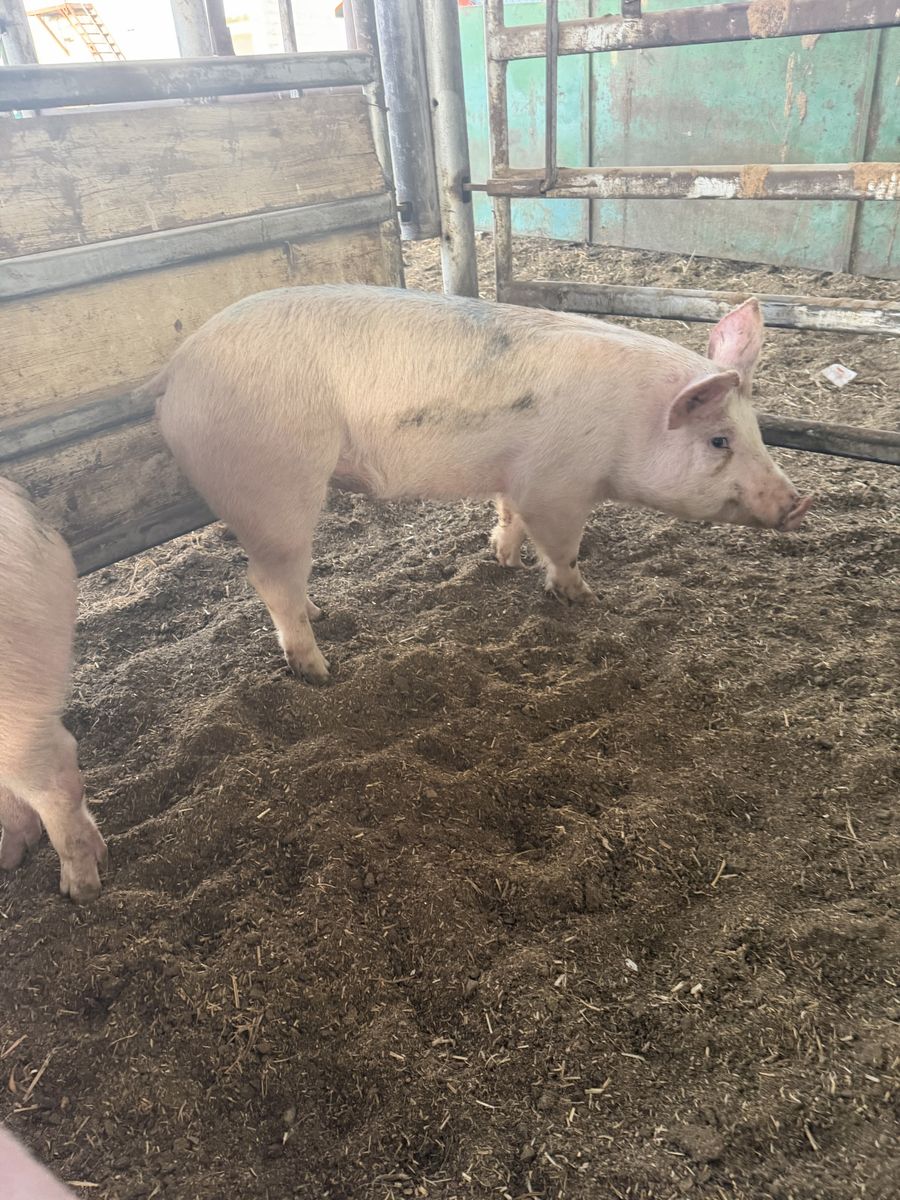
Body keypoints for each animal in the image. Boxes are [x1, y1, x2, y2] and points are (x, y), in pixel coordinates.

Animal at [149, 286, 812, 683]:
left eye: (757, 431)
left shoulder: (518, 475)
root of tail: (175, 372)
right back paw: (320, 670)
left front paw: (503, 560)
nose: (798, 504)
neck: (629, 427)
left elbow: (509, 514)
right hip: (276, 485)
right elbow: (564, 547)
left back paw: (322, 613)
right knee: (268, 578)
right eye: (719, 441)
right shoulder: (558, 485)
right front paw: (585, 599)